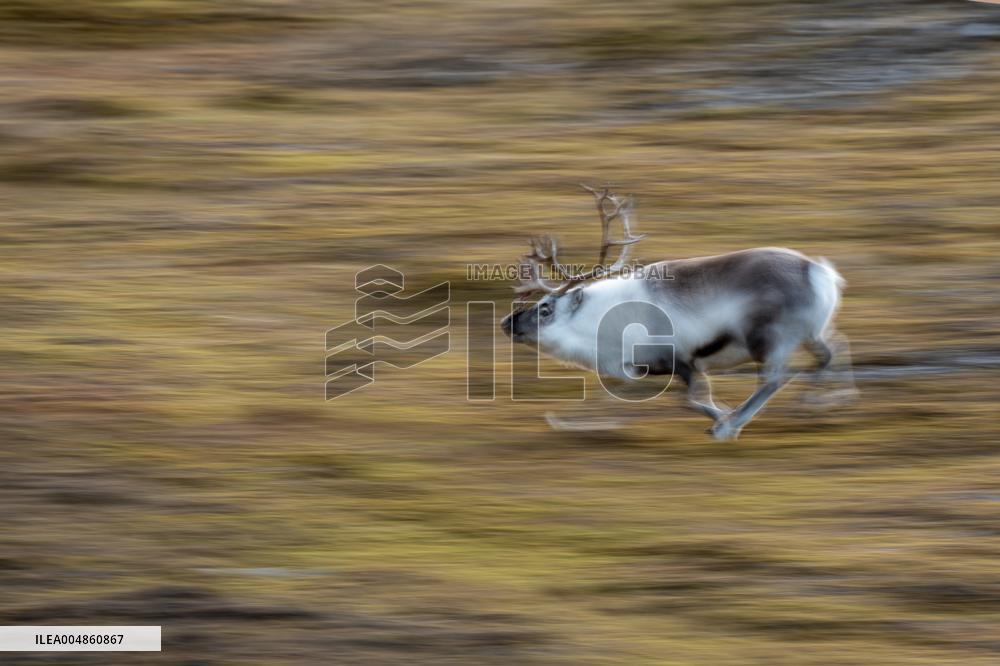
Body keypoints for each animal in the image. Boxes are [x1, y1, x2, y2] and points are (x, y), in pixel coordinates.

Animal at [500, 185, 852, 441]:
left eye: (545, 308)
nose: (506, 322)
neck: (601, 324)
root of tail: (818, 271)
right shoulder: (638, 368)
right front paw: (565, 422)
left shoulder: (680, 359)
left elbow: (691, 399)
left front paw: (724, 422)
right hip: (813, 331)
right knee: (833, 351)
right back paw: (823, 402)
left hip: (767, 338)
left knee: (774, 378)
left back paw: (738, 424)